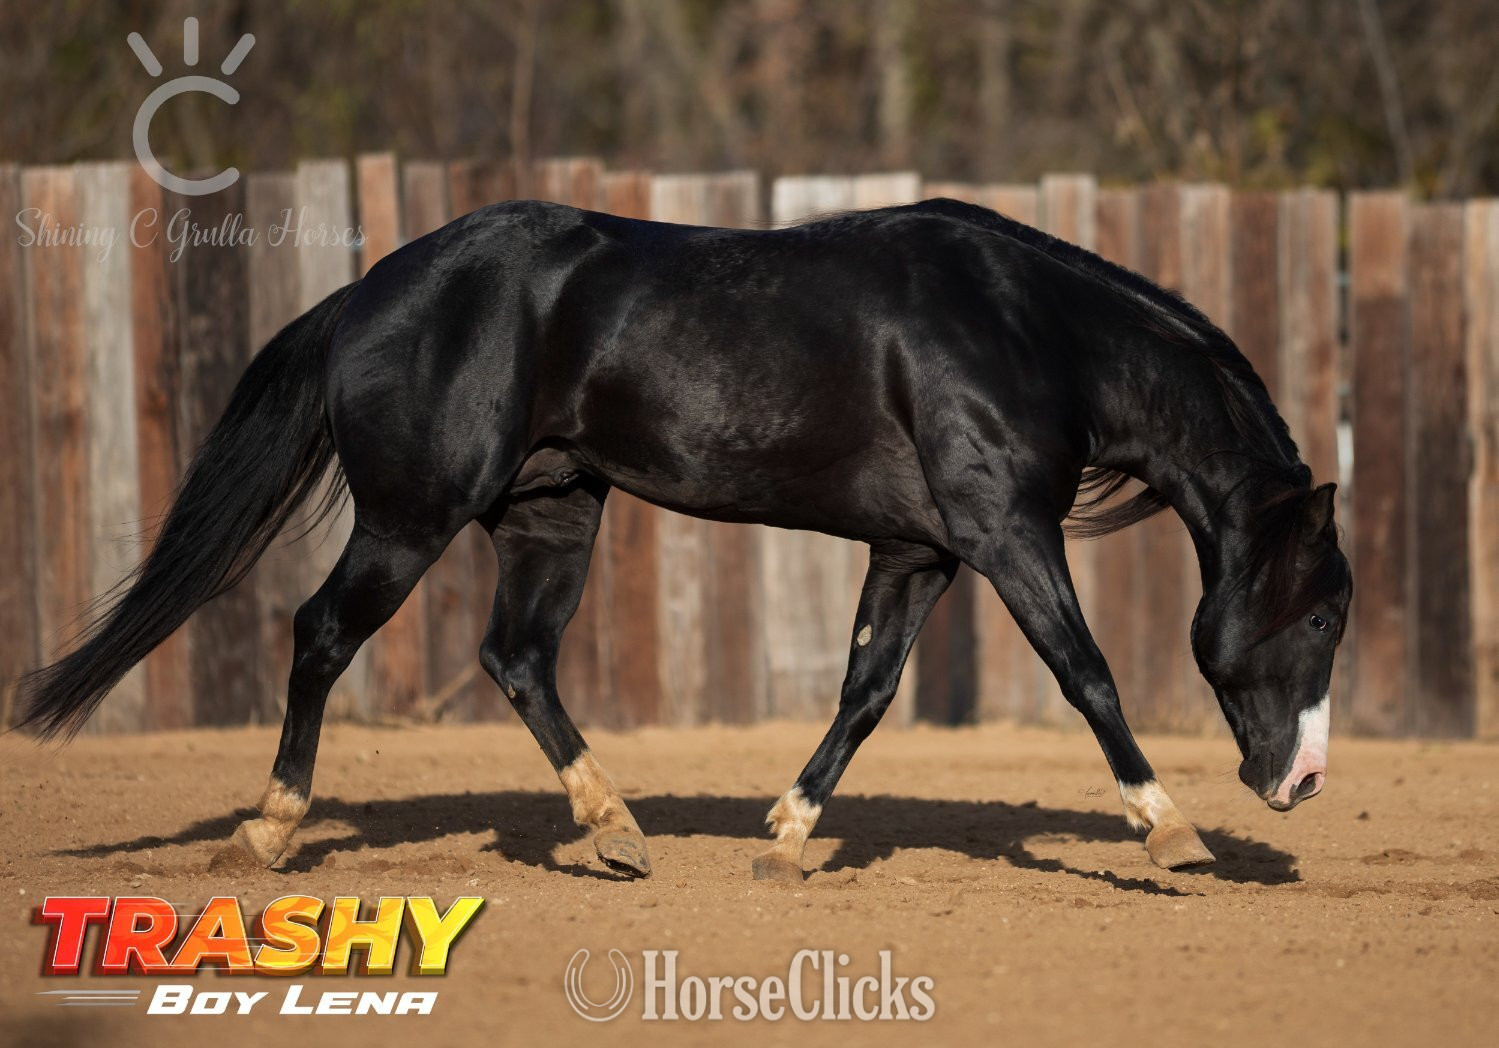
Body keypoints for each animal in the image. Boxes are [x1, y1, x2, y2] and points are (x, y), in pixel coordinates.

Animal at [16, 196, 1352, 881]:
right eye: (1328, 607)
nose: (1302, 781)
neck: (1022, 328)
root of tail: (364, 294)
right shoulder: (1004, 531)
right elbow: (1085, 671)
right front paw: (1171, 829)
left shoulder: (919, 551)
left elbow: (866, 690)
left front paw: (788, 836)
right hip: (412, 516)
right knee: (322, 633)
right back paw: (268, 828)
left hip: (551, 511)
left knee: (515, 658)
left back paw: (613, 829)